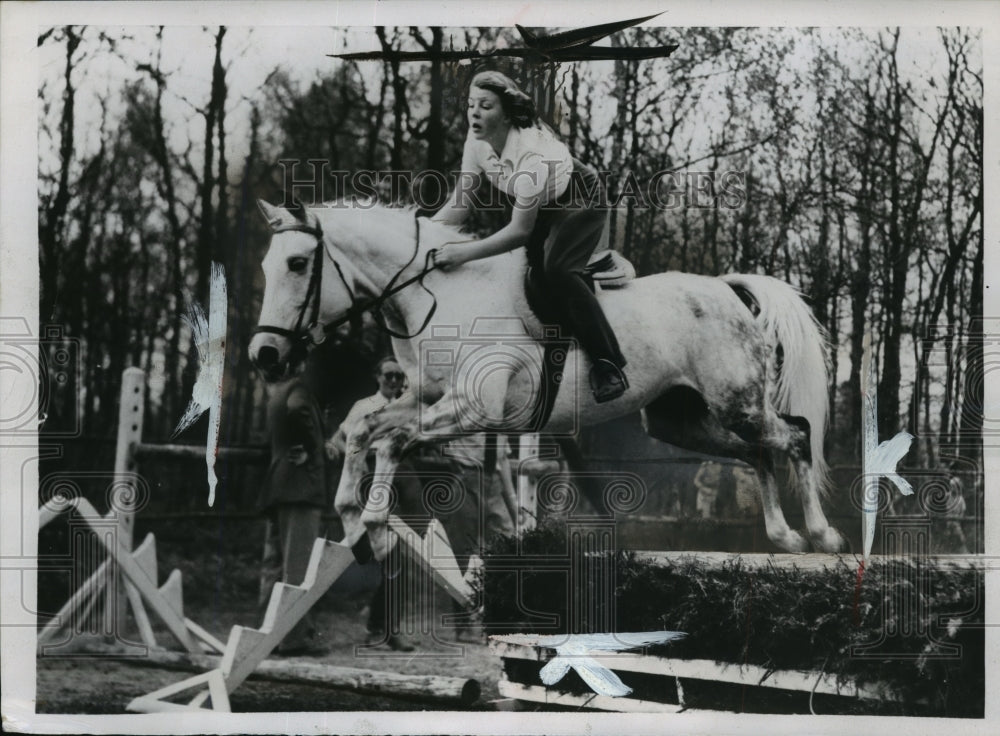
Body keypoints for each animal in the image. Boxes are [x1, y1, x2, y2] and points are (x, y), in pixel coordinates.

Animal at [250, 198, 844, 556]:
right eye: (266, 266)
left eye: (298, 265)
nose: (265, 355)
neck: (436, 296)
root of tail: (726, 289)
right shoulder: (426, 397)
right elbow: (362, 428)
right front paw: (353, 515)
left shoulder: (472, 409)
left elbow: (392, 441)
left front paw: (373, 520)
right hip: (682, 420)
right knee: (759, 452)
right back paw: (785, 537)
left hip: (736, 402)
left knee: (793, 437)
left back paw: (822, 533)